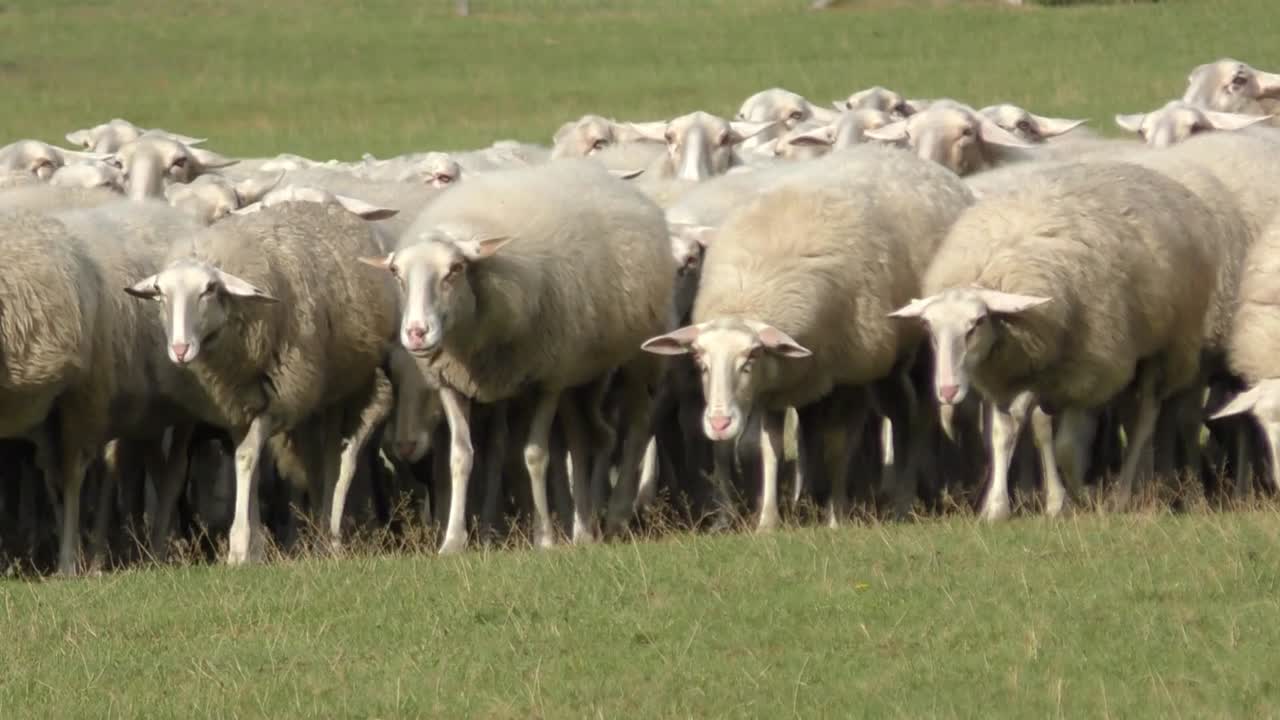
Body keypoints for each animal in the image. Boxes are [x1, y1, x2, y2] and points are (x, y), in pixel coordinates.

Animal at [125, 202, 399, 563]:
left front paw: (240, 547)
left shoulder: (275, 401)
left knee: (334, 459)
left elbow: (245, 458)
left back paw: (328, 537)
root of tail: (328, 207)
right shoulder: (236, 406)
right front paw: (254, 546)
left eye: (209, 290)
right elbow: (249, 463)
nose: (180, 350)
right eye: (160, 293)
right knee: (317, 459)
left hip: (342, 387)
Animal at [364, 159, 673, 551]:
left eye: (455, 270)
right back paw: (583, 530)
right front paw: (453, 541)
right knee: (586, 439)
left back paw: (615, 516)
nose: (417, 333)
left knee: (634, 429)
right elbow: (460, 457)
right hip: (580, 373)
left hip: (638, 359)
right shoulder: (451, 382)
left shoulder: (546, 381)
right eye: (396, 274)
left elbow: (535, 455)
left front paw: (543, 537)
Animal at [642, 145, 974, 527]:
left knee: (918, 417)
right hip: (886, 365)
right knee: (900, 415)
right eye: (700, 360)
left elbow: (839, 446)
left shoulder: (850, 375)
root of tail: (911, 158)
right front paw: (768, 520)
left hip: (919, 349)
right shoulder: (779, 384)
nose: (719, 423)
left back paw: (904, 501)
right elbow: (768, 448)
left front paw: (836, 515)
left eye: (751, 357)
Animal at [889, 161, 1215, 519]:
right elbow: (1007, 432)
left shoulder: (1078, 375)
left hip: (1163, 351)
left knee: (1144, 420)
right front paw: (998, 507)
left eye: (976, 323)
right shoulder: (1014, 376)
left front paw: (1073, 499)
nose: (947, 392)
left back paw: (1120, 495)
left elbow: (1065, 446)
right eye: (930, 329)